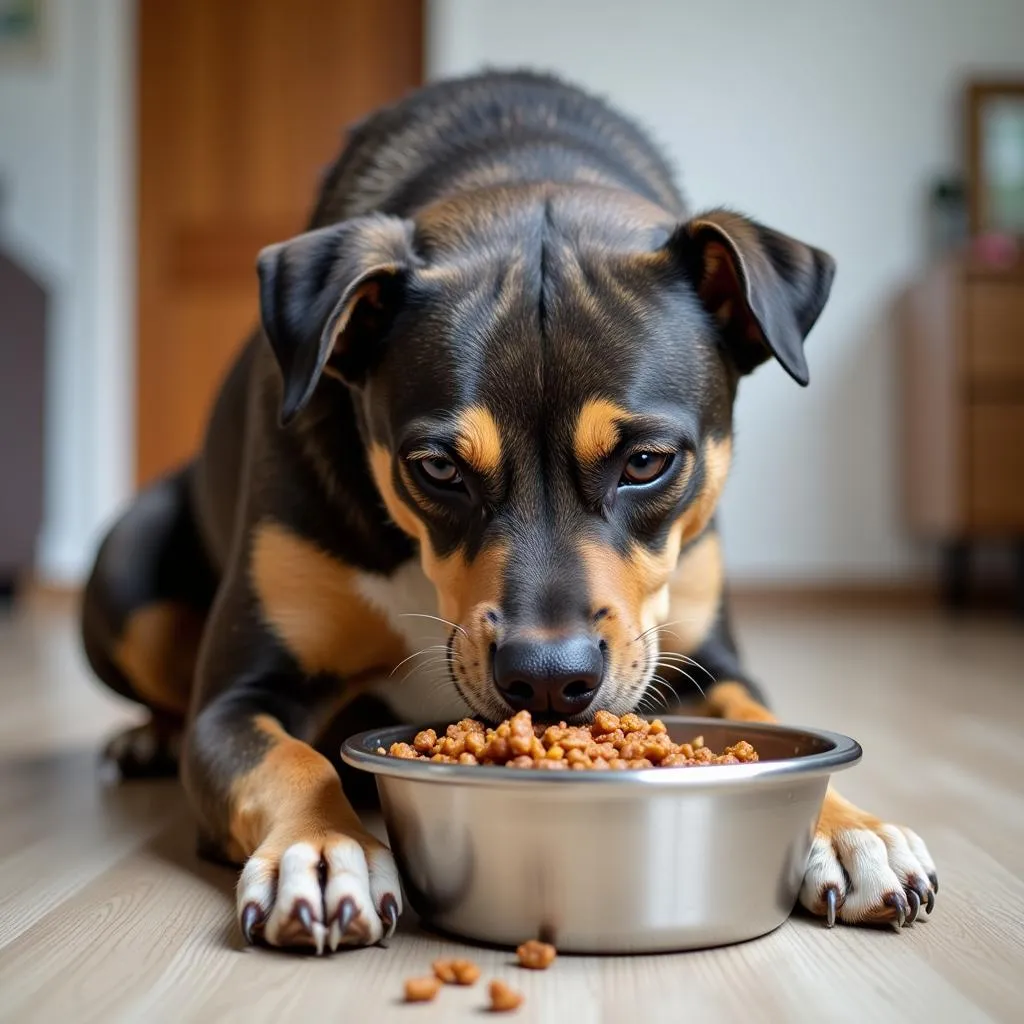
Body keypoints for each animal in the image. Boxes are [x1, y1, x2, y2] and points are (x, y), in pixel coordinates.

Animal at [81, 72, 937, 950]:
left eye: (646, 462)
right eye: (437, 468)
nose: (550, 680)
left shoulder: (706, 659)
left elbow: (764, 719)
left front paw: (852, 829)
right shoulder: (239, 695)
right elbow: (291, 759)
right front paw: (321, 850)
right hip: (125, 577)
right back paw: (148, 737)